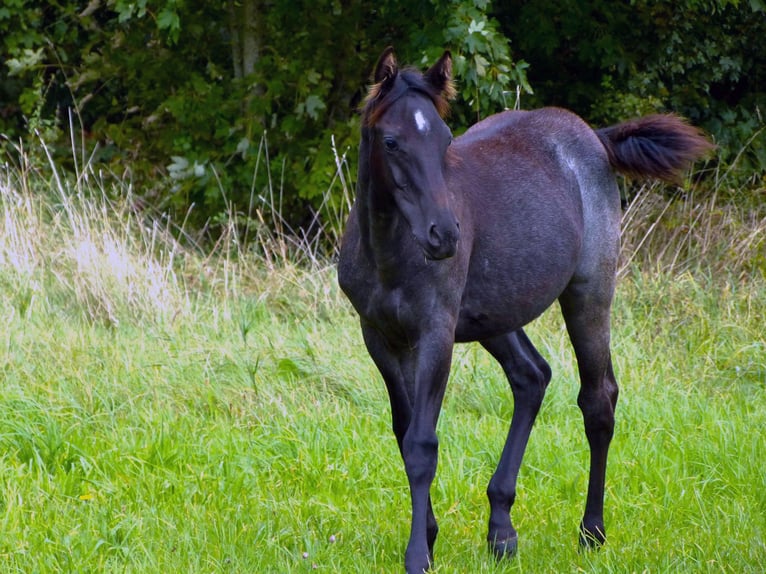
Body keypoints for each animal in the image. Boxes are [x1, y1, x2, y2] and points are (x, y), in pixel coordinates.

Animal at [340, 49, 716, 574]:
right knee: (531, 376)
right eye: (391, 141)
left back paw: (591, 532)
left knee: (598, 400)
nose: (445, 236)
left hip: (588, 295)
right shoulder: (377, 336)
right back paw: (502, 530)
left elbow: (421, 443)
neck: (388, 251)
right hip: (496, 315)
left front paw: (418, 555)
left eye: (446, 139)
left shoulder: (435, 332)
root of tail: (594, 138)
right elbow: (404, 430)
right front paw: (429, 537)